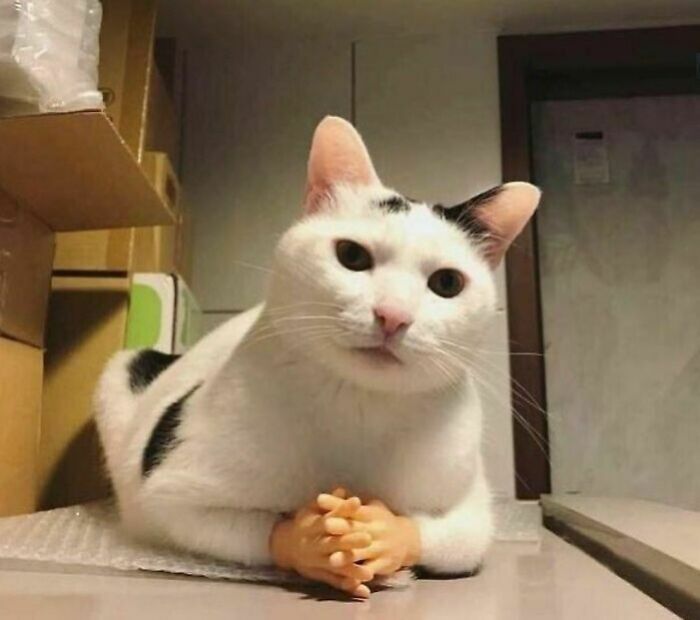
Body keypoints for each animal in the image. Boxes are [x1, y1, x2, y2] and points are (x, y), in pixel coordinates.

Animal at [94, 117, 540, 588]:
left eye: (448, 283)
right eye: (351, 255)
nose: (393, 316)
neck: (358, 402)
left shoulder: (471, 507)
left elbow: (456, 538)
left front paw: (388, 535)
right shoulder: (172, 491)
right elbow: (249, 525)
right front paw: (307, 538)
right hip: (123, 368)